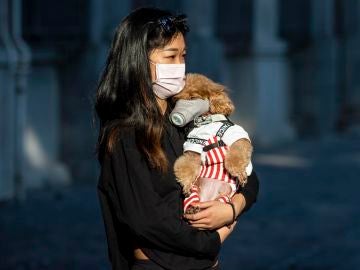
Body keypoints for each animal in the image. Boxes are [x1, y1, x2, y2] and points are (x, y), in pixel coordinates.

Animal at [172, 73, 253, 214]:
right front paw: (186, 184)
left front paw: (239, 173)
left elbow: (235, 157)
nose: (177, 115)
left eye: (193, 97)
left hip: (223, 198)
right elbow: (186, 165)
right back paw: (192, 208)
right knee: (193, 200)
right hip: (195, 193)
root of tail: (207, 198)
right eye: (178, 100)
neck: (205, 121)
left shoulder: (236, 135)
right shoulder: (193, 145)